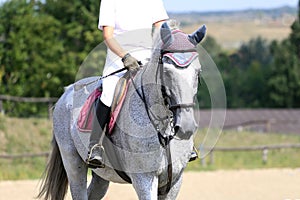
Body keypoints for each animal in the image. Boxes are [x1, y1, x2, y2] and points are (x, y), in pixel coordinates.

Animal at [38, 22, 206, 199]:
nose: (186, 127)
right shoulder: (144, 179)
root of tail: (67, 91)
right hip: (72, 162)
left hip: (101, 174)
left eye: (198, 73)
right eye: (166, 72)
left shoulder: (174, 181)